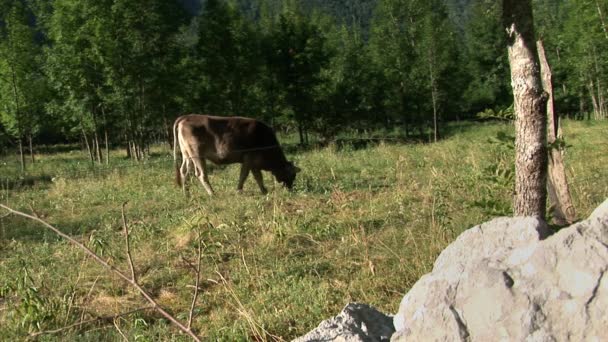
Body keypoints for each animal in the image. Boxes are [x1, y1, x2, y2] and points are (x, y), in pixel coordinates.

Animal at [172, 114, 300, 196]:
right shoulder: (249, 158)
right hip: (197, 154)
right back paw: (212, 193)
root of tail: (187, 116)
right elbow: (245, 175)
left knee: (184, 171)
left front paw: (264, 191)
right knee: (200, 174)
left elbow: (257, 176)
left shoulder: (253, 162)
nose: (292, 189)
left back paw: (186, 194)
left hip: (187, 154)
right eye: (293, 175)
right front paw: (239, 190)